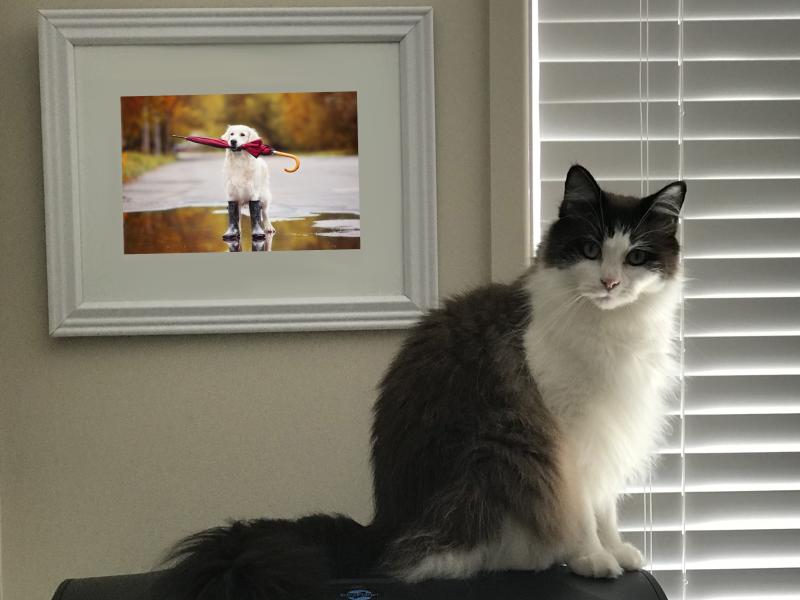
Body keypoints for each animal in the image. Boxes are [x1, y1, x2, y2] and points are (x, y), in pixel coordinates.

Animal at [161, 165, 688, 600]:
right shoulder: (568, 435)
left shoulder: (611, 428)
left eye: (636, 257)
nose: (610, 283)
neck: (610, 331)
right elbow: (580, 511)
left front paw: (617, 550)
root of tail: (382, 527)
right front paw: (592, 558)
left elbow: (605, 507)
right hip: (494, 454)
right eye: (591, 250)